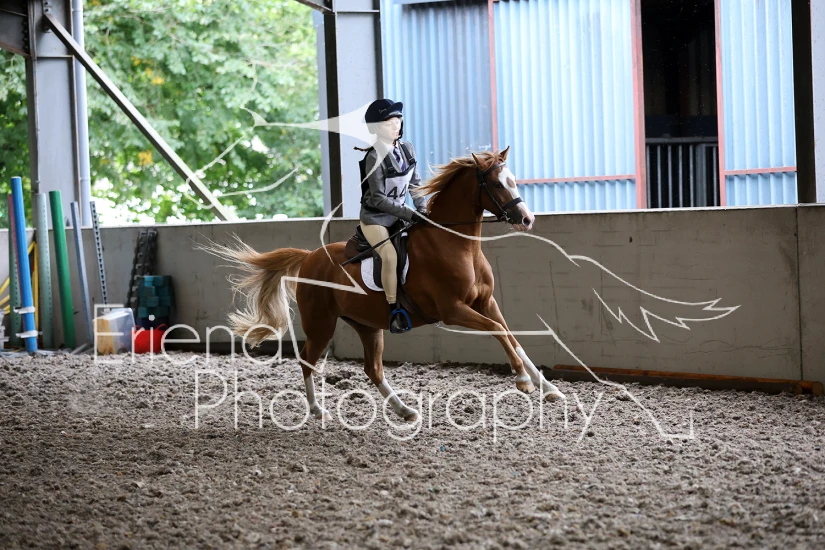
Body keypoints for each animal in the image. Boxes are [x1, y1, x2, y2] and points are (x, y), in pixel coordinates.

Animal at [204, 147, 565, 423]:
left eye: (513, 180)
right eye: (496, 184)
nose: (527, 219)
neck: (457, 245)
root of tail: (310, 256)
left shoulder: (486, 302)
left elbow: (510, 336)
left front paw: (548, 389)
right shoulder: (453, 310)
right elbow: (498, 330)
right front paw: (523, 381)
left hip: (367, 325)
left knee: (373, 369)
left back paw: (405, 411)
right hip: (321, 324)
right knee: (307, 359)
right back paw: (318, 410)